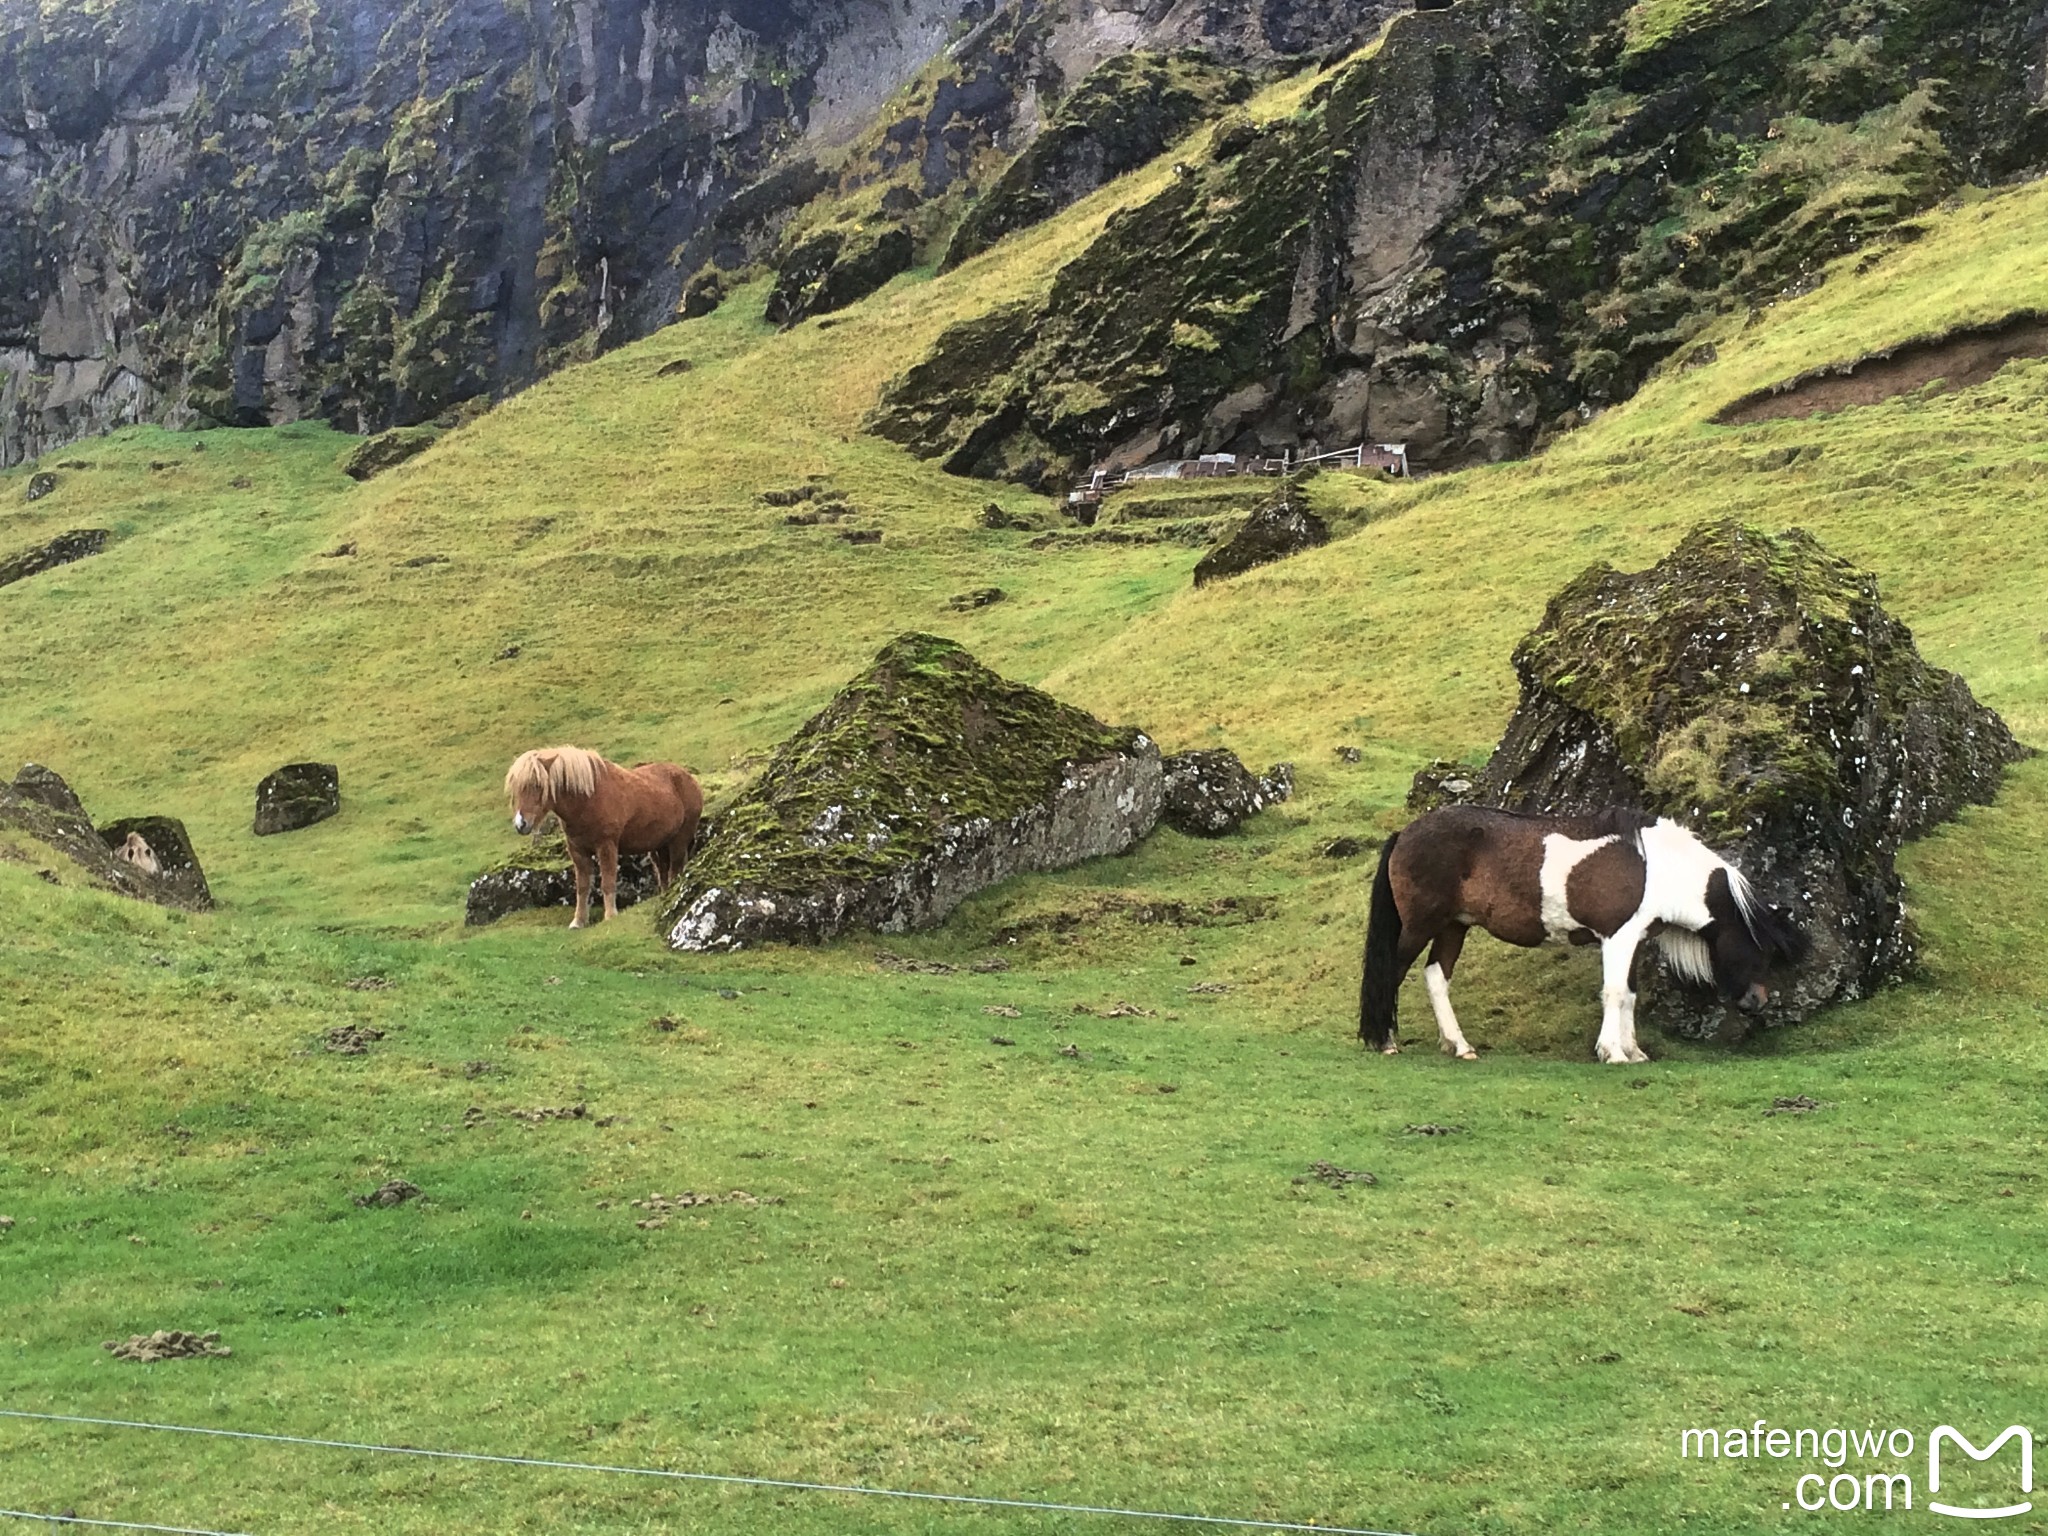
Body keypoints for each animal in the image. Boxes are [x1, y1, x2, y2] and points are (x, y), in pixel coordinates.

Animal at [503, 753, 704, 933]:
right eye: (516, 788)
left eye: (537, 785)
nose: (521, 824)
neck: (589, 798)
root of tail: (690, 779)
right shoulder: (578, 851)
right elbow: (583, 887)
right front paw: (578, 921)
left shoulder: (606, 846)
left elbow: (607, 883)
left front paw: (610, 916)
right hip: (659, 847)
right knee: (663, 872)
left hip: (678, 841)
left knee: (675, 870)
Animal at [1359, 806, 1810, 1073]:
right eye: (1758, 947)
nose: (1757, 1001)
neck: (1657, 869)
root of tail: (1405, 833)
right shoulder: (1617, 937)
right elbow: (1614, 993)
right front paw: (1613, 1052)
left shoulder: (1634, 940)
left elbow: (1629, 995)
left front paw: (1634, 1051)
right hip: (1421, 925)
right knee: (1391, 973)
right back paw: (1385, 1041)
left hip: (1455, 925)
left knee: (1437, 976)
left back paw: (1458, 1044)